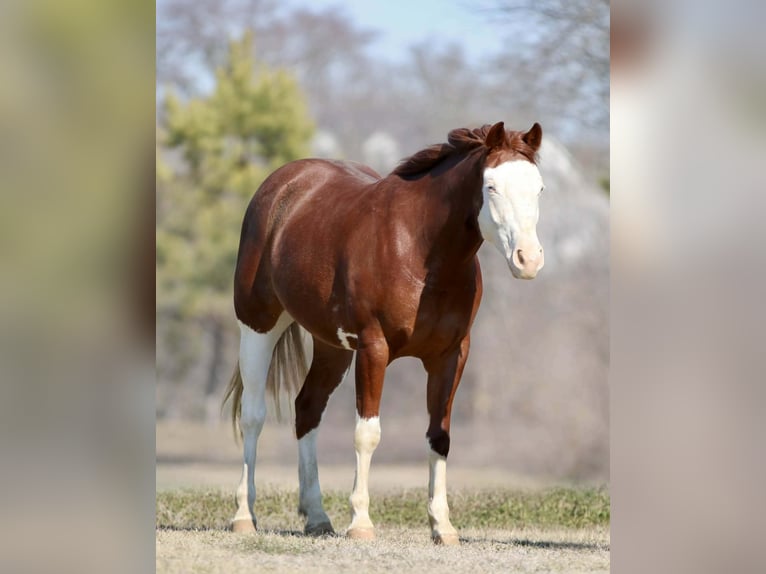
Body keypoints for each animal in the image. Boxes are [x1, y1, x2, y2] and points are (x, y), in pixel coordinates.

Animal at [223, 121, 545, 545]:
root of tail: (281, 185)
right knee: (254, 416)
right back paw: (245, 515)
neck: (419, 250)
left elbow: (439, 435)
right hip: (258, 326)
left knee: (307, 408)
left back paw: (317, 517)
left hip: (332, 346)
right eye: (490, 186)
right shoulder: (374, 348)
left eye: (539, 187)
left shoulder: (451, 355)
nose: (529, 259)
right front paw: (361, 522)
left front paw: (442, 526)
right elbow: (367, 433)